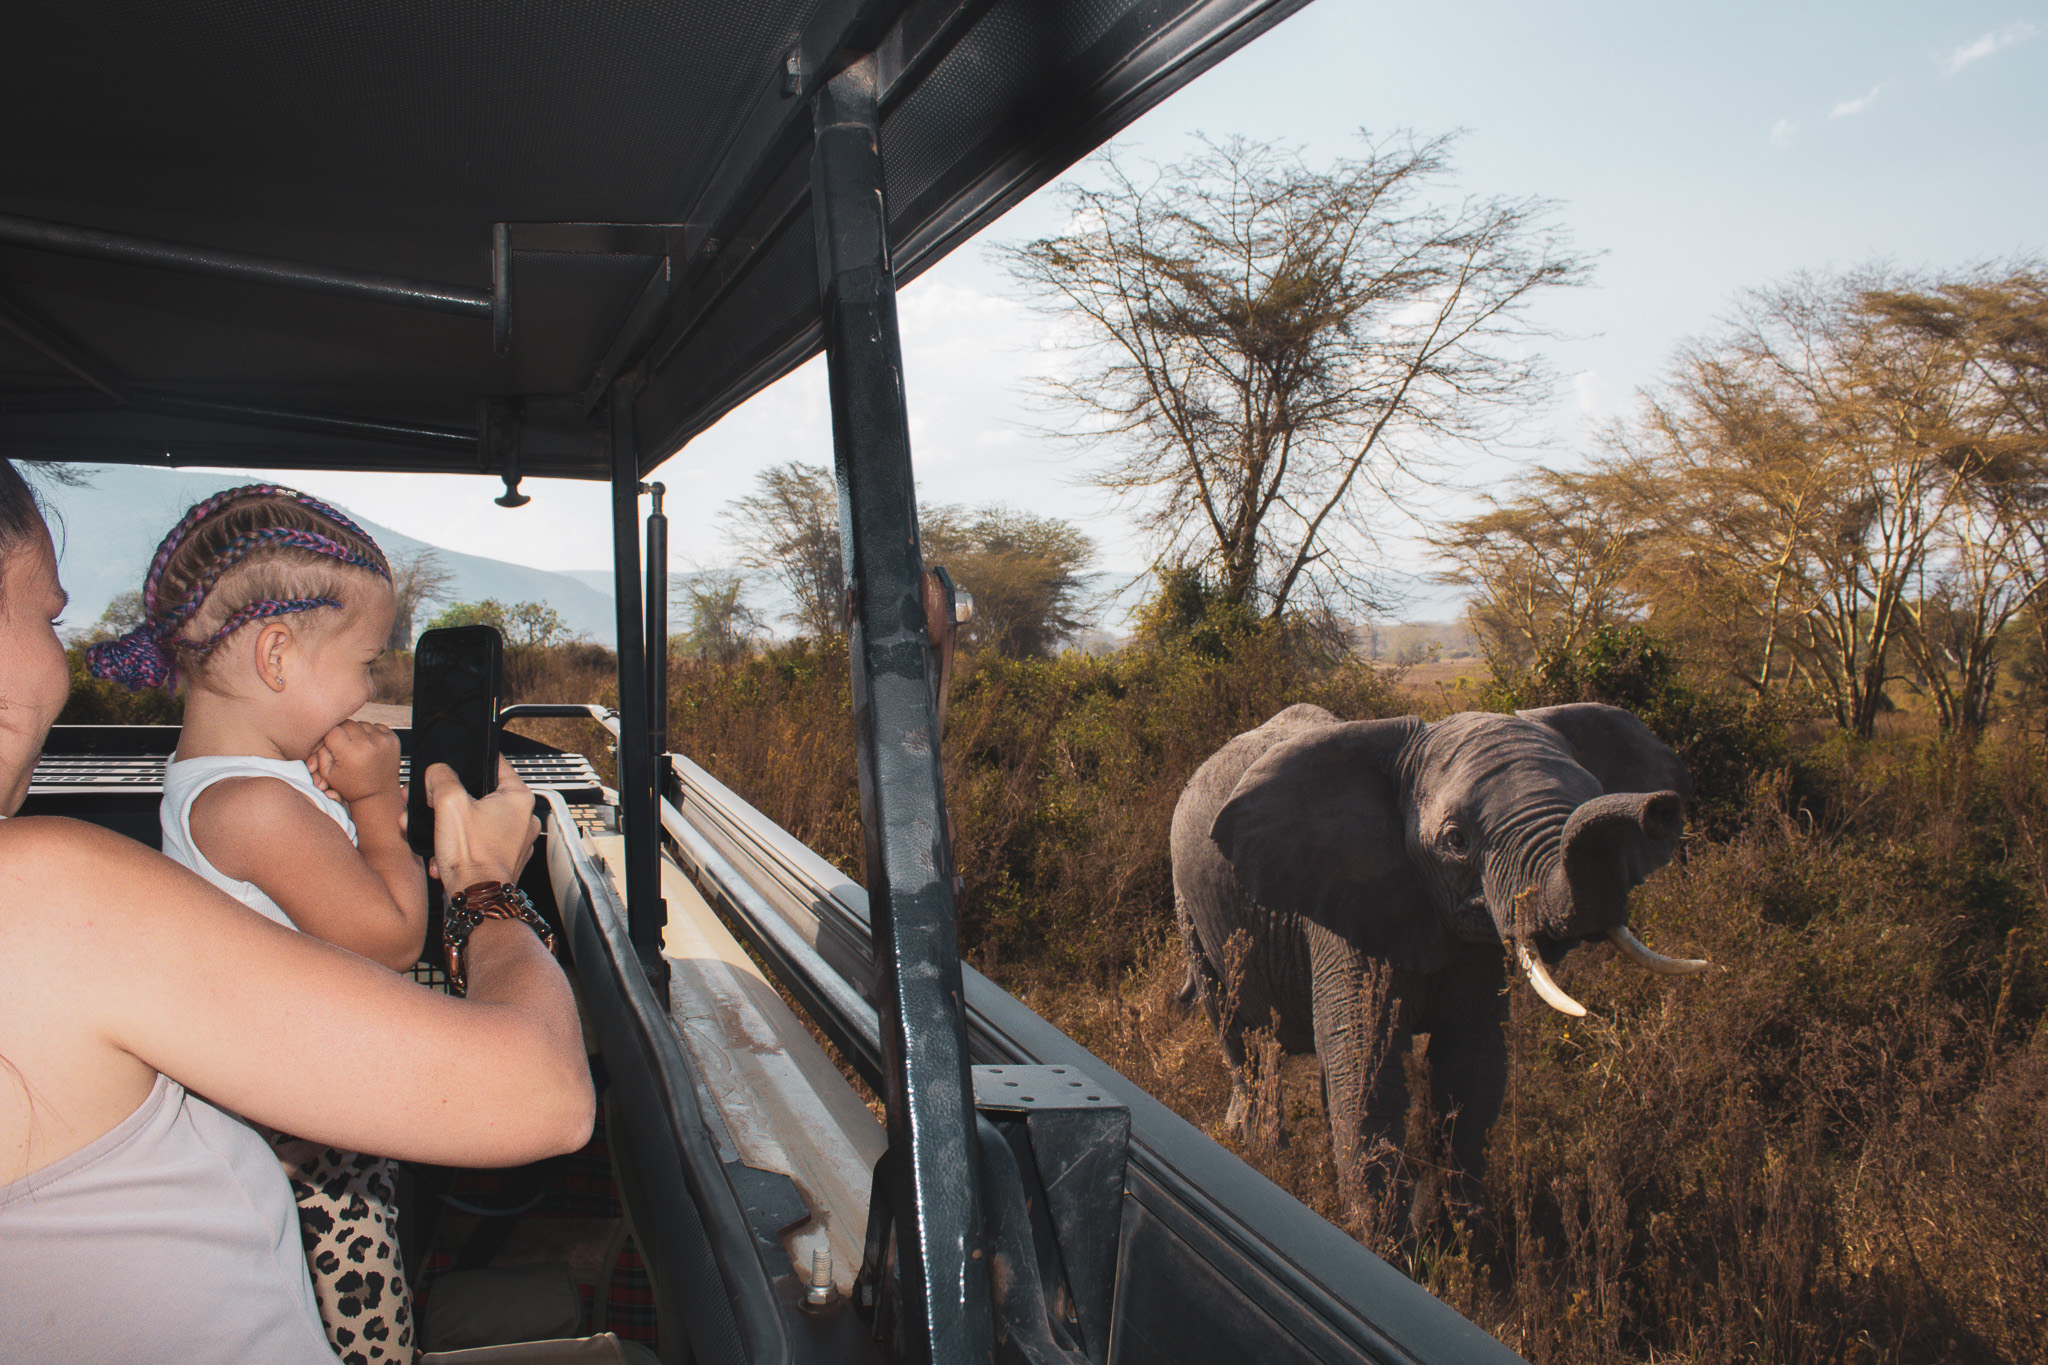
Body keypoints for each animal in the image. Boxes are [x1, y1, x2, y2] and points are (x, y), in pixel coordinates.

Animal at [1171, 701, 1705, 1199]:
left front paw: (1457, 1229)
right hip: (1188, 908)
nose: (1661, 809)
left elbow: (1472, 1071)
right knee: (1236, 1034)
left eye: (1591, 795)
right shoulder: (1346, 913)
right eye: (1456, 841)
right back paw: (1260, 1150)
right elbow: (1368, 1079)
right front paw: (1381, 1236)